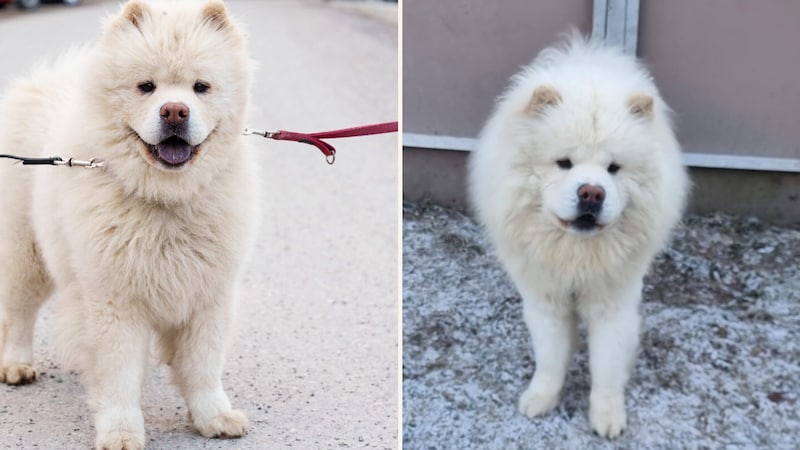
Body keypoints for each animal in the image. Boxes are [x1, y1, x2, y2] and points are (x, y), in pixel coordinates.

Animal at [0, 1, 255, 448]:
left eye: (201, 87)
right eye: (146, 87)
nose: (175, 111)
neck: (165, 200)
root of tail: (46, 81)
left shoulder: (209, 296)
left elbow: (204, 367)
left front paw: (214, 418)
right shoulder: (115, 304)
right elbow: (119, 377)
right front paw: (121, 432)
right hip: (25, 255)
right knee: (18, 314)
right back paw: (16, 365)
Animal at [472, 36, 692, 440]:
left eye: (614, 168)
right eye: (564, 163)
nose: (592, 192)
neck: (575, 254)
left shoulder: (613, 305)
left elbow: (606, 369)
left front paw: (607, 418)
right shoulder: (546, 300)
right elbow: (550, 360)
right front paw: (540, 400)